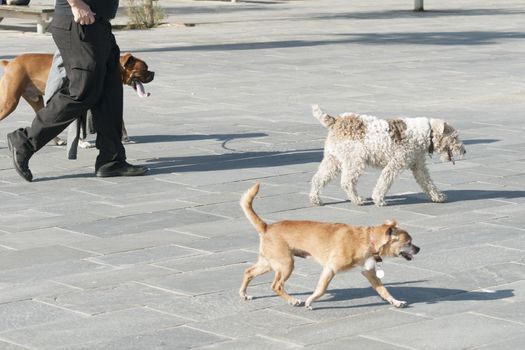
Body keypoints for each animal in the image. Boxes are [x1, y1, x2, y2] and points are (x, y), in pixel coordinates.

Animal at [0, 51, 154, 144]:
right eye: (145, 69)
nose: (153, 73)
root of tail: (10, 63)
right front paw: (81, 143)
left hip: (36, 101)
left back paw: (57, 140)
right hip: (10, 102)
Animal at [239, 183, 420, 308]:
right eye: (409, 243)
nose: (419, 249)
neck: (368, 240)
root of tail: (266, 227)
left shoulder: (369, 273)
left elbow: (383, 290)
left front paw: (395, 302)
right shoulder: (330, 269)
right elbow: (321, 289)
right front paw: (310, 301)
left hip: (270, 263)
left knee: (249, 272)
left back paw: (244, 294)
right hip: (286, 264)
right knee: (276, 285)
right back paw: (293, 300)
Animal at [310, 105, 464, 206]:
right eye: (455, 138)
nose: (464, 151)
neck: (426, 134)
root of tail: (336, 120)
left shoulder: (418, 166)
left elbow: (428, 183)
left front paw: (438, 197)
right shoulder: (395, 164)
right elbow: (384, 182)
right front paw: (378, 199)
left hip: (332, 160)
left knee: (318, 179)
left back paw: (315, 199)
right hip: (355, 161)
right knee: (347, 182)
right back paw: (358, 200)